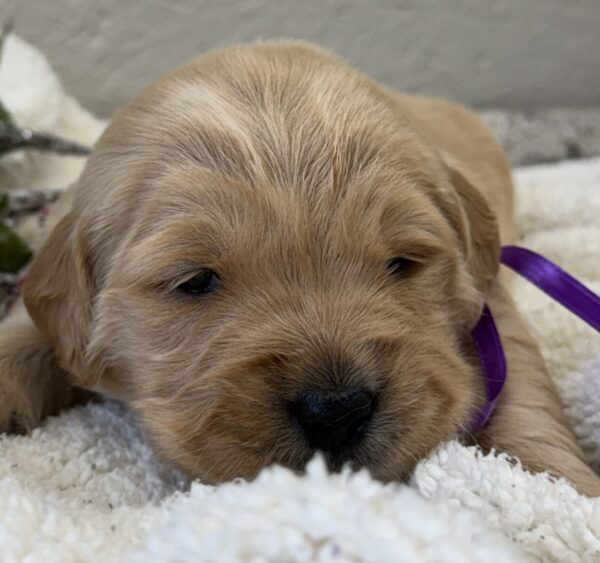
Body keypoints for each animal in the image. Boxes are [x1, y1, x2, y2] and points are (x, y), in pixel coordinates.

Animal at [1, 41, 600, 496]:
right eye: (196, 281)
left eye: (401, 263)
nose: (336, 411)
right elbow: (28, 333)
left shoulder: (488, 297)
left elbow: (522, 396)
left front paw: (559, 488)